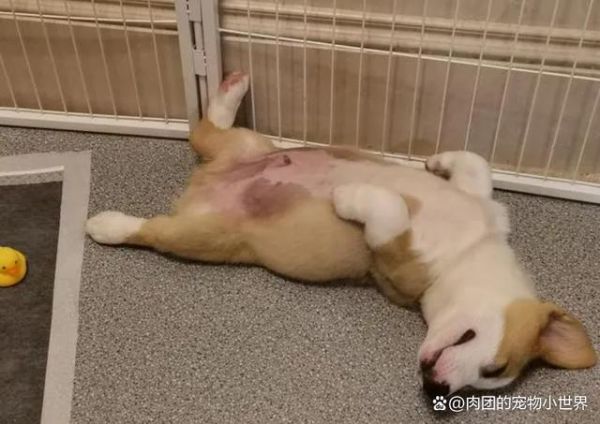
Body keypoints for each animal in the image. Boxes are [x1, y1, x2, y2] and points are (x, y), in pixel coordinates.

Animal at [86, 71, 596, 398]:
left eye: (487, 378)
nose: (437, 388)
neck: (475, 247)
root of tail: (206, 182)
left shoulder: (399, 268)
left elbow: (388, 209)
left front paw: (350, 196)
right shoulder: (479, 201)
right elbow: (475, 163)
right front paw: (436, 162)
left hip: (204, 231)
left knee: (156, 221)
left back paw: (104, 223)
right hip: (248, 149)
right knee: (206, 132)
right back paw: (232, 89)